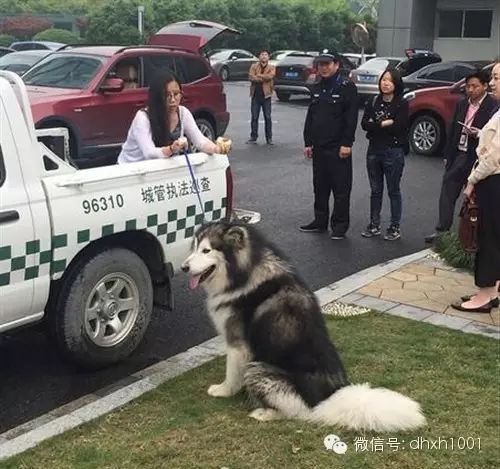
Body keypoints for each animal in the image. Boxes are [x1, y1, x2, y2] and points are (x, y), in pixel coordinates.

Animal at [182, 223, 424, 432]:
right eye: (194, 248)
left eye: (206, 250)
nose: (184, 267)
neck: (245, 274)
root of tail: (327, 399)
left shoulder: (237, 344)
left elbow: (231, 373)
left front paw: (222, 391)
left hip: (259, 370)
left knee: (301, 412)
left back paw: (265, 413)